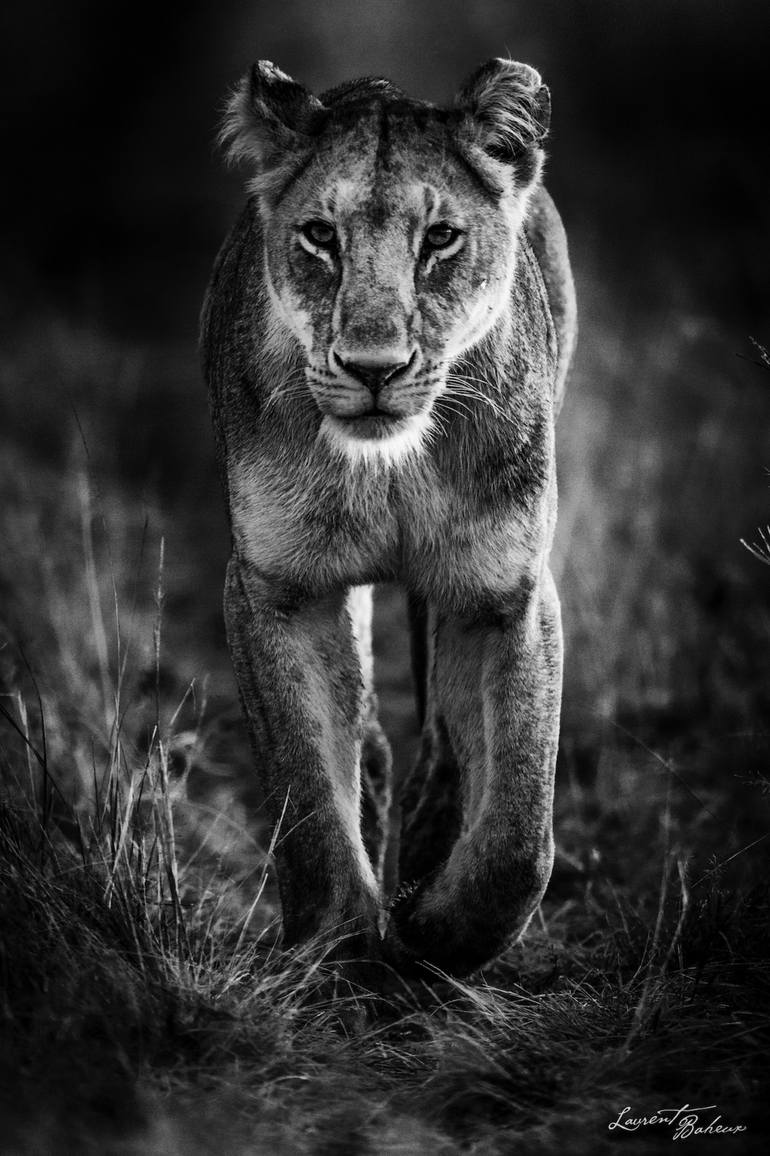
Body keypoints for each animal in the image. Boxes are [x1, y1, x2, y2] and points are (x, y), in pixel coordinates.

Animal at [201, 57, 577, 981]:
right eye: (318, 237)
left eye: (440, 239)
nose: (374, 368)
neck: (396, 467)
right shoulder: (277, 586)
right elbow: (306, 794)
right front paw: (339, 951)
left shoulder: (507, 590)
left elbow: (520, 835)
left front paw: (438, 935)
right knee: (368, 740)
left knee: (443, 742)